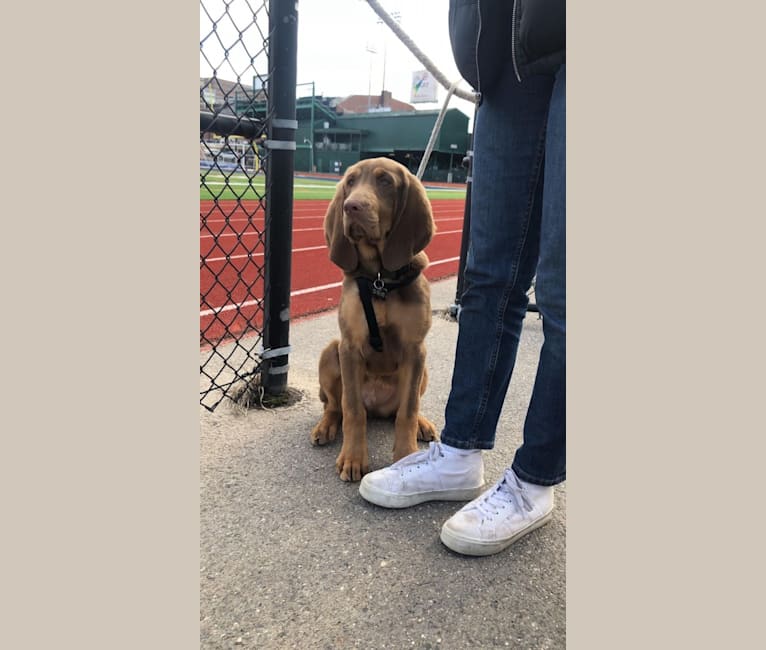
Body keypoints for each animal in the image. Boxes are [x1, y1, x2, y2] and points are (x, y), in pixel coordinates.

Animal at [310, 158, 438, 480]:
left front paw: (405, 456)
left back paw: (423, 424)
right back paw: (325, 427)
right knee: (335, 406)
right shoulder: (350, 346)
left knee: (405, 409)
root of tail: (378, 408)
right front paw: (353, 458)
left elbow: (408, 410)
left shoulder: (415, 349)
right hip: (330, 351)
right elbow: (353, 410)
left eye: (385, 182)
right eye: (350, 182)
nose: (351, 207)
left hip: (423, 368)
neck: (381, 280)